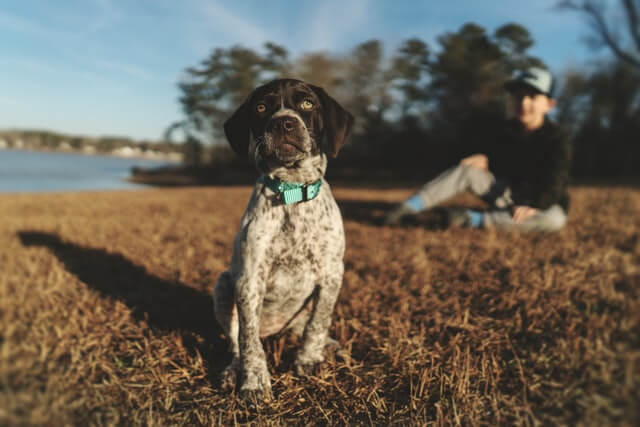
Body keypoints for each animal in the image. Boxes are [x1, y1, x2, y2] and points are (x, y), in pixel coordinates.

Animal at [214, 77, 356, 402]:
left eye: (307, 103)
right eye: (261, 107)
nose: (283, 123)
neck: (292, 191)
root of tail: (275, 332)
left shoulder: (332, 274)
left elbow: (318, 323)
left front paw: (309, 360)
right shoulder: (249, 279)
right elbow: (249, 341)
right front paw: (254, 382)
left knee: (304, 326)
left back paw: (331, 347)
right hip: (223, 285)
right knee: (236, 342)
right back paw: (232, 371)